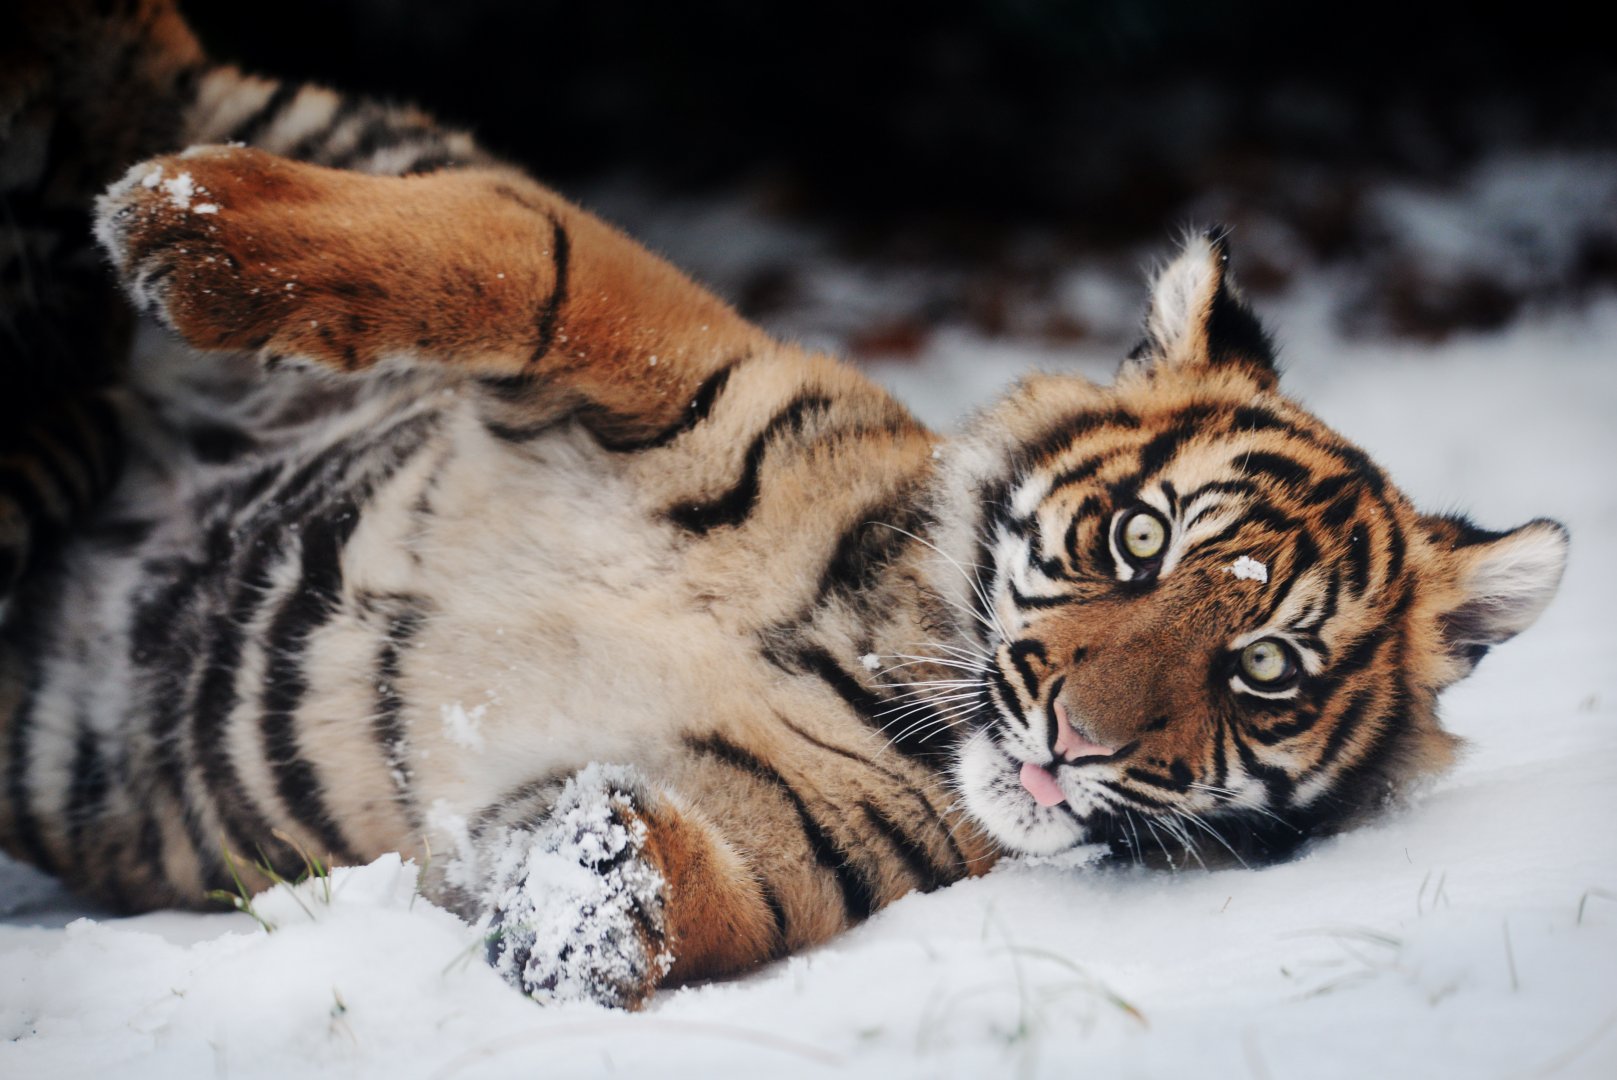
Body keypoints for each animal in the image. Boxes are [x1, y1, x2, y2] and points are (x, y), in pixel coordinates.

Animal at [0, 0, 1568, 1009]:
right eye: (1137, 541)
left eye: (1265, 669)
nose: (1075, 738)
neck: (887, 650)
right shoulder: (672, 365)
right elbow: (517, 252)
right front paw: (186, 229)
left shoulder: (785, 839)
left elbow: (700, 899)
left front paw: (587, 895)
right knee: (153, 51)